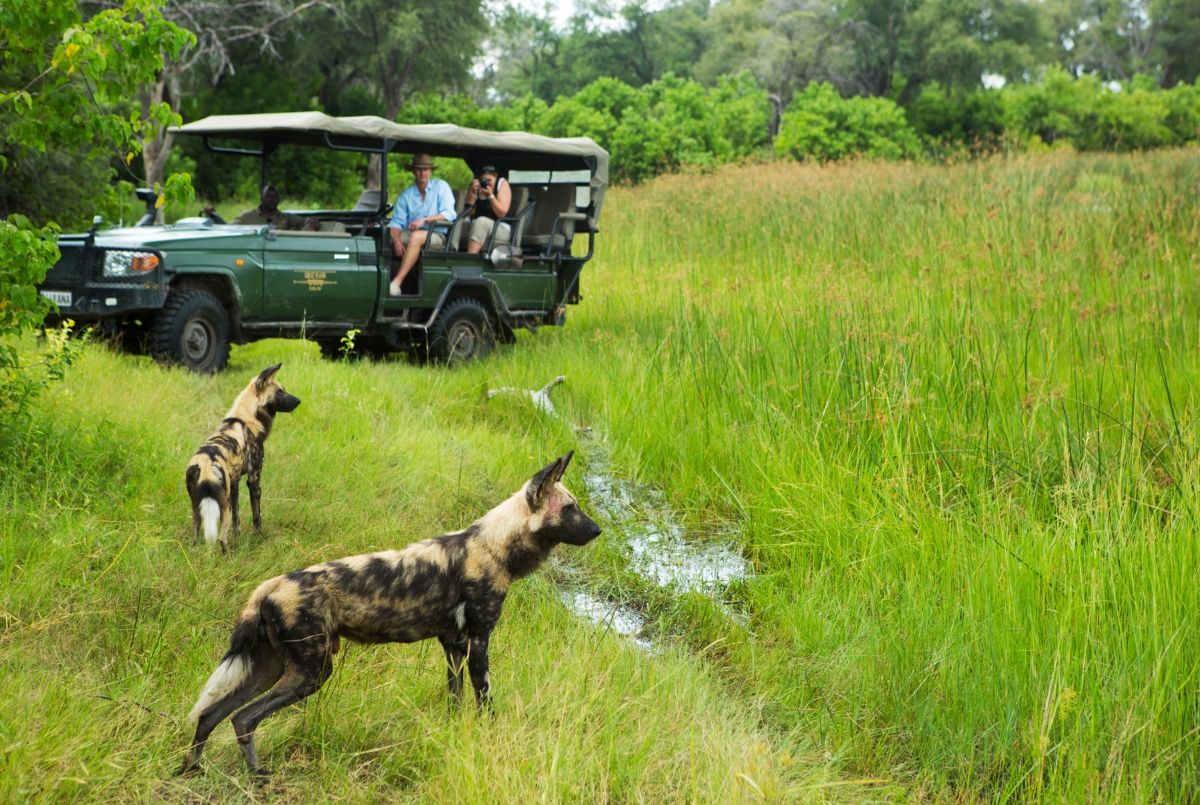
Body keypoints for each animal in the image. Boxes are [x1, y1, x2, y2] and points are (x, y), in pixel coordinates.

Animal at [180, 451, 600, 777]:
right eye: (569, 509)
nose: (597, 530)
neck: (495, 545)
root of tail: (266, 587)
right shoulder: (479, 643)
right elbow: (485, 700)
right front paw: (489, 736)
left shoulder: (452, 645)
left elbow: (454, 699)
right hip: (310, 672)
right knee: (243, 718)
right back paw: (257, 776)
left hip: (269, 668)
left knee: (212, 715)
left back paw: (191, 769)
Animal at [187, 367, 302, 551]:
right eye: (279, 391)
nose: (298, 401)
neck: (247, 418)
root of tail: (205, 461)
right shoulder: (254, 480)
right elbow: (257, 515)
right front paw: (258, 536)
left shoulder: (234, 483)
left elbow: (237, 518)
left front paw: (238, 534)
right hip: (222, 504)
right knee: (221, 537)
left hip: (197, 505)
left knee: (196, 536)